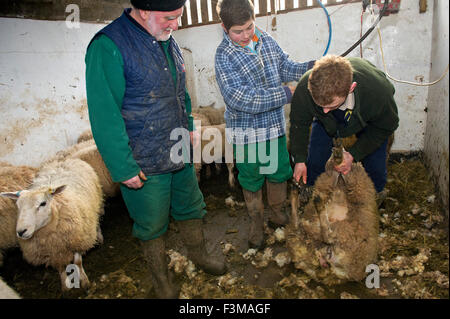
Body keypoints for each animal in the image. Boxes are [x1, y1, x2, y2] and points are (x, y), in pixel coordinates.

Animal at [0, 159, 103, 292]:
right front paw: (65, 286)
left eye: (43, 203)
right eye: (18, 206)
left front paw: (84, 281)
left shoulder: (77, 240)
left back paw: (99, 237)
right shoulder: (53, 252)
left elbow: (78, 262)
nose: (21, 232)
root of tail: (63, 160)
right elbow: (60, 267)